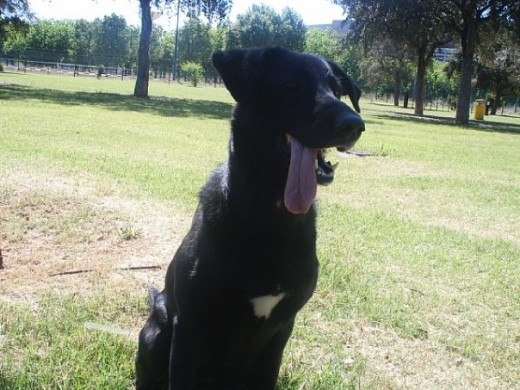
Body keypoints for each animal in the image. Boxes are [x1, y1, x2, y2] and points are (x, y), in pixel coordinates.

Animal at [137, 47, 366, 388]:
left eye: (338, 90)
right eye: (291, 85)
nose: (355, 124)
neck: (272, 215)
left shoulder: (280, 330)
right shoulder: (189, 327)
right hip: (156, 333)